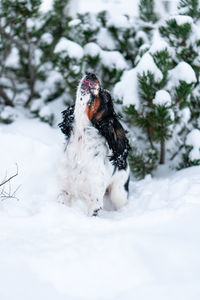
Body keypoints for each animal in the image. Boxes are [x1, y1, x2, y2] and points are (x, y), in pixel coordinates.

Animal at [58, 74, 130, 217]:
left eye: (106, 96)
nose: (92, 74)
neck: (81, 143)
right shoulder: (64, 190)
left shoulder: (95, 198)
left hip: (118, 192)